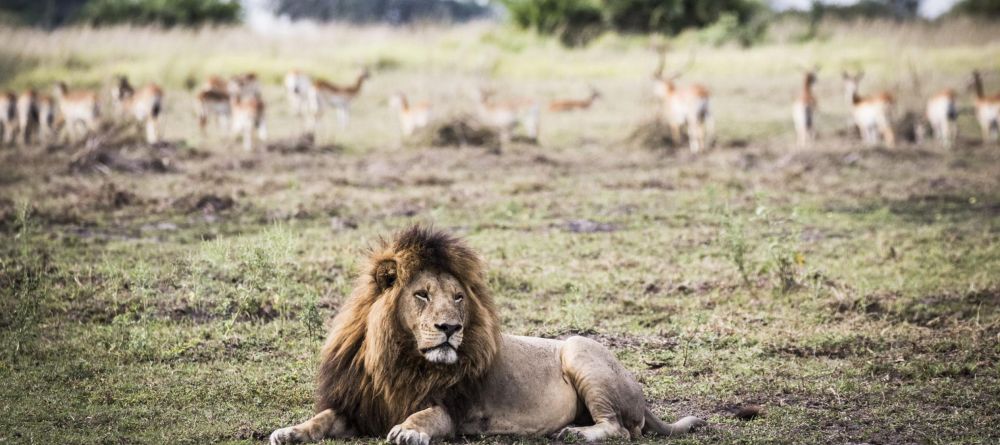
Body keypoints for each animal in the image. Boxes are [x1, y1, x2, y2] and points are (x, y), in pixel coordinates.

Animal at [266, 227, 704, 442]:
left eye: (458, 297)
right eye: (422, 295)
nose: (450, 328)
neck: (398, 359)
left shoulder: (450, 409)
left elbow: (424, 416)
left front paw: (408, 431)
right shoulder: (359, 405)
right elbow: (321, 418)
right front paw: (289, 431)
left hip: (580, 350)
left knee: (621, 429)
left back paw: (575, 434)